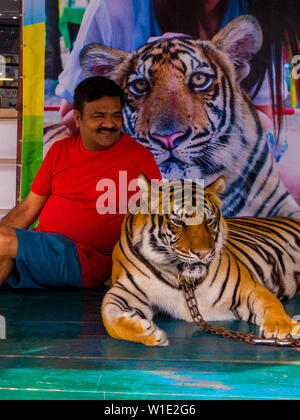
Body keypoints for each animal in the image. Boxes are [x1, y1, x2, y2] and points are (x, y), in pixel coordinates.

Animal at [102, 172, 300, 346]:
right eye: (178, 222)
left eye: (209, 220)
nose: (203, 253)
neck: (182, 279)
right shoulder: (125, 290)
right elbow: (108, 316)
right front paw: (147, 332)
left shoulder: (249, 288)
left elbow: (270, 302)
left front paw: (283, 327)